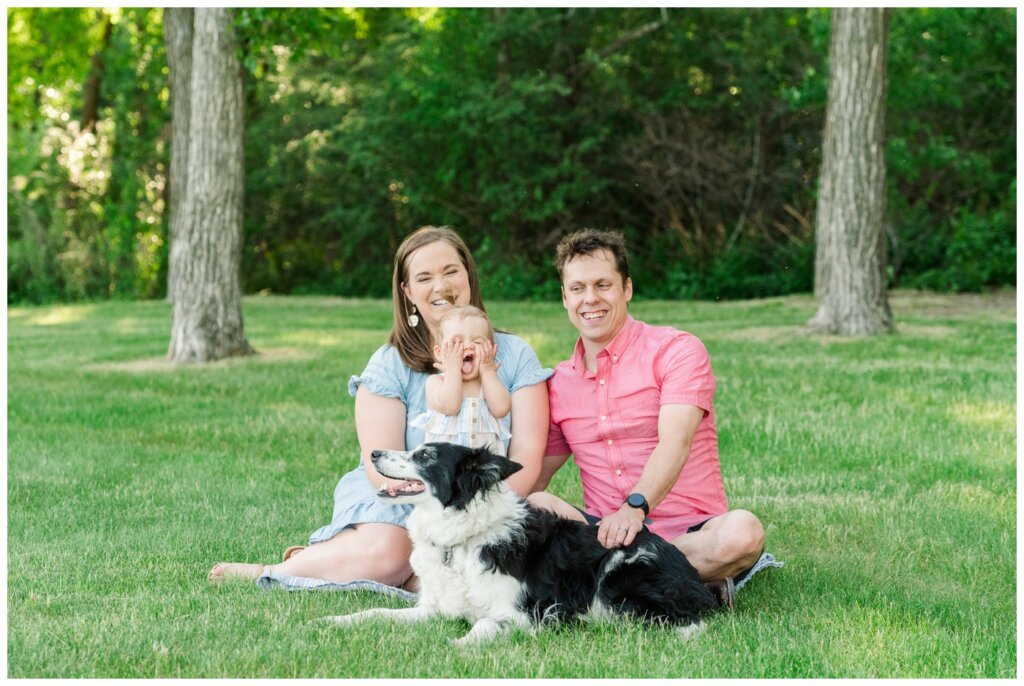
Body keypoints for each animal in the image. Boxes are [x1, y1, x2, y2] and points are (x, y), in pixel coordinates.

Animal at [323, 444, 716, 647]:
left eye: (425, 456)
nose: (374, 452)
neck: (462, 537)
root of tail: (695, 579)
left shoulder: (521, 613)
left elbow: (483, 625)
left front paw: (459, 646)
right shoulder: (434, 607)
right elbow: (377, 612)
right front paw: (333, 620)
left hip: (617, 577)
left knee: (684, 622)